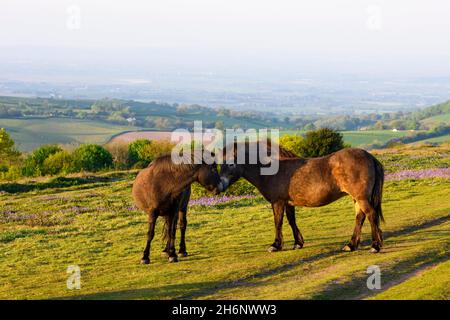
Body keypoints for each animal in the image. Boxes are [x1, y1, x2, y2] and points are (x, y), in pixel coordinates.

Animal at [220, 141, 384, 254]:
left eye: (231, 163)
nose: (220, 185)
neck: (273, 169)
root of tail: (369, 156)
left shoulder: (278, 202)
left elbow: (278, 222)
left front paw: (276, 245)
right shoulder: (288, 203)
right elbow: (291, 221)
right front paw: (298, 243)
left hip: (361, 198)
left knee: (371, 215)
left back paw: (375, 246)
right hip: (357, 198)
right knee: (360, 218)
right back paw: (351, 245)